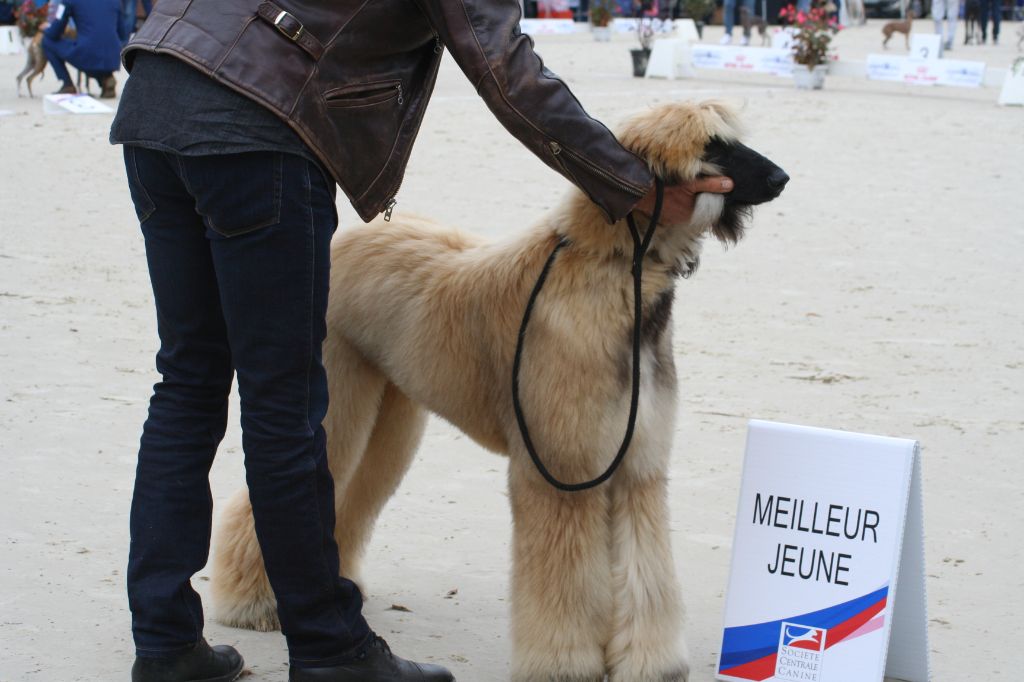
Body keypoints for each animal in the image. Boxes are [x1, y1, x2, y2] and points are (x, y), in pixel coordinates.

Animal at [214, 100, 790, 679]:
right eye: (715, 145)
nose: (782, 178)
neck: (611, 273)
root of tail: (343, 239)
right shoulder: (563, 467)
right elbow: (564, 577)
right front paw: (565, 661)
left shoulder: (637, 466)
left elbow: (645, 569)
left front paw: (650, 662)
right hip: (338, 396)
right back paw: (252, 601)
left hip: (390, 412)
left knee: (354, 493)